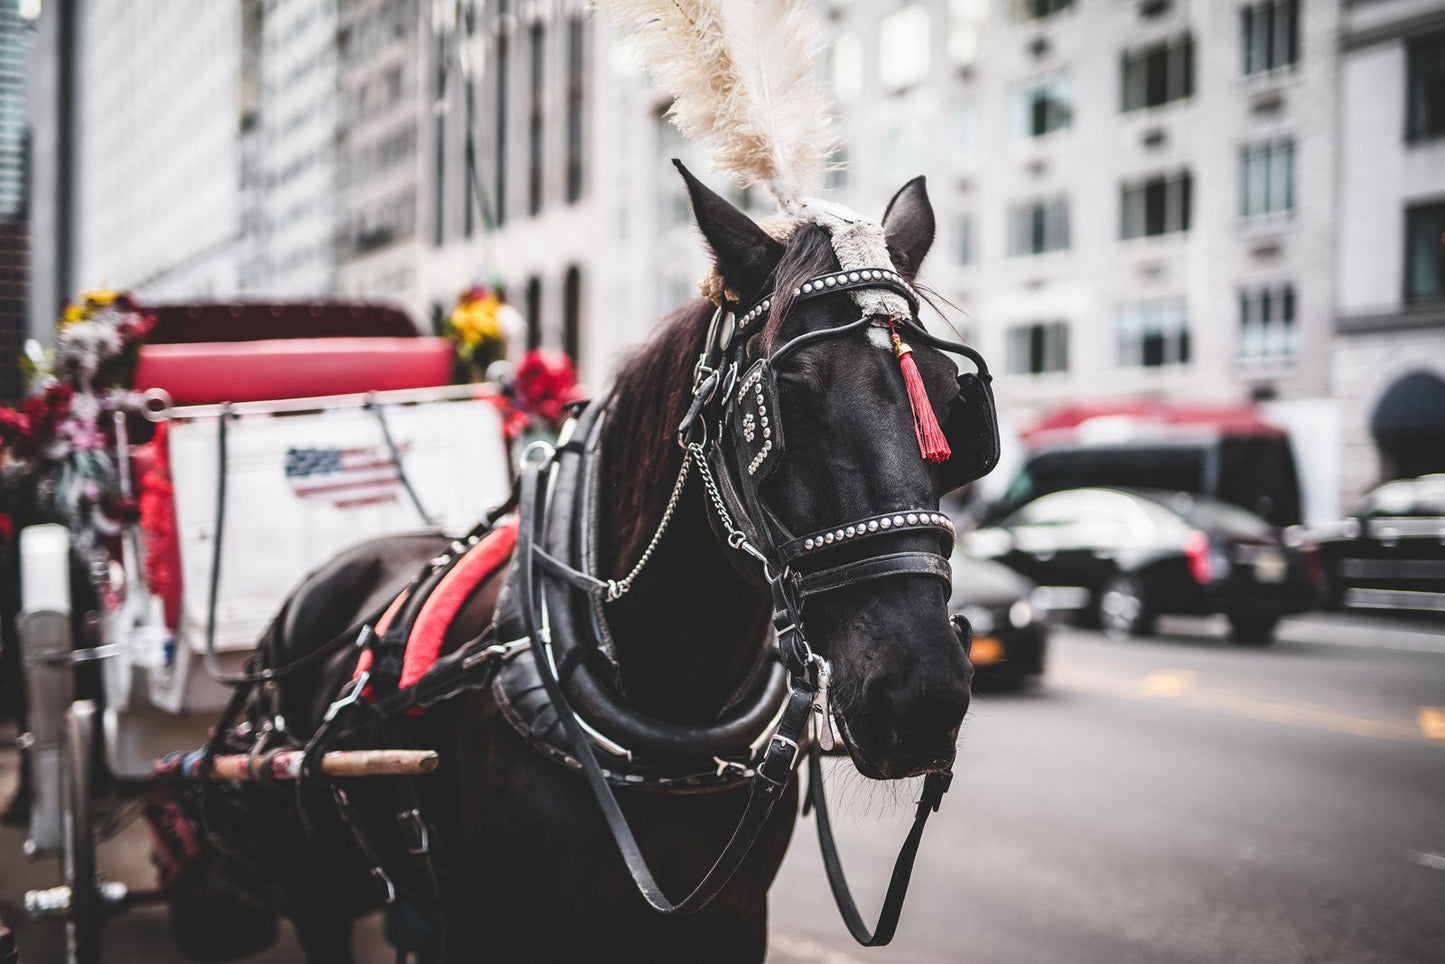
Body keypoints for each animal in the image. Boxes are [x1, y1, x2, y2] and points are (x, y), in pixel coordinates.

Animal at [165, 166, 990, 963]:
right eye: (782, 398)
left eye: (950, 401)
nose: (921, 693)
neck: (670, 711)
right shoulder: (492, 931)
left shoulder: (725, 926)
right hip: (317, 889)